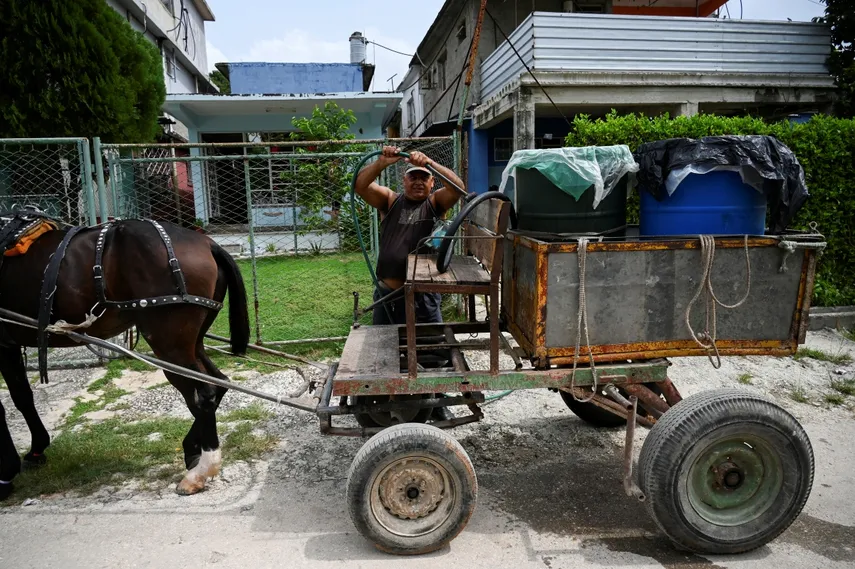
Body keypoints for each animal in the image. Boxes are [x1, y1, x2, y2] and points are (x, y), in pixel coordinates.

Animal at [0, 211, 247, 500]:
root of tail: (207, 243)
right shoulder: (9, 344)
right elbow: (23, 398)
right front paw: (36, 450)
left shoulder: (1, 345)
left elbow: (11, 402)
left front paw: (7, 473)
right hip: (190, 343)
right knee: (218, 383)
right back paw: (192, 450)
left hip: (169, 346)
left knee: (204, 394)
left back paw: (202, 470)